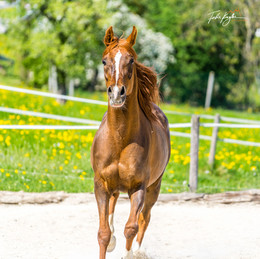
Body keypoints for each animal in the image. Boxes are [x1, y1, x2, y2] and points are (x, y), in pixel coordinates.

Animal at [91, 26, 171, 259]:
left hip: (154, 187)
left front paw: (129, 253)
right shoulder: (100, 184)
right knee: (113, 206)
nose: (117, 93)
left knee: (145, 219)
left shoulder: (138, 187)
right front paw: (108, 242)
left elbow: (131, 227)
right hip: (114, 186)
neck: (120, 139)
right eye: (104, 60)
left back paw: (138, 251)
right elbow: (103, 232)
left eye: (132, 60)